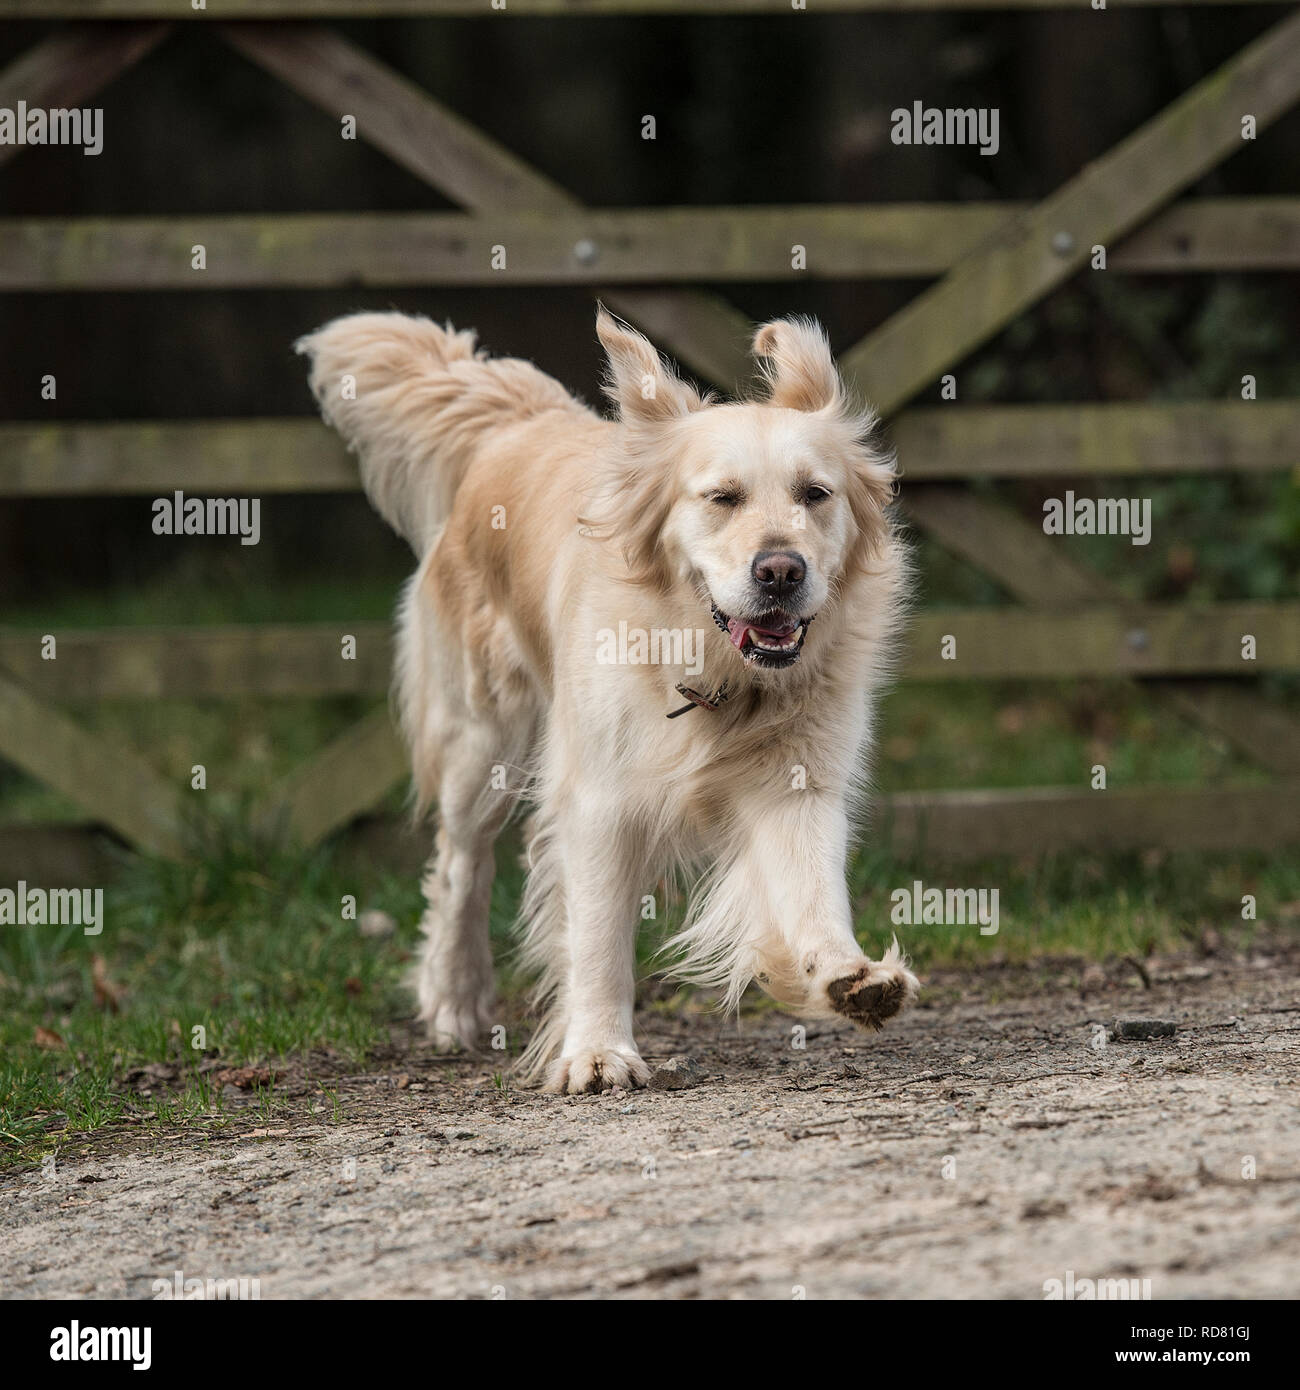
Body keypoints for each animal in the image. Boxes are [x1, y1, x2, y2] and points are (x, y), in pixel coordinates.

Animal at [300, 309, 917, 1089]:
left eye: (816, 493)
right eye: (723, 498)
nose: (781, 570)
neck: (709, 666)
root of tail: (520, 421)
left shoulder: (796, 780)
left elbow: (811, 886)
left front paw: (846, 974)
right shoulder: (598, 798)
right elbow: (595, 934)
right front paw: (596, 1050)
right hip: (482, 739)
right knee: (460, 865)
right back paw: (455, 998)